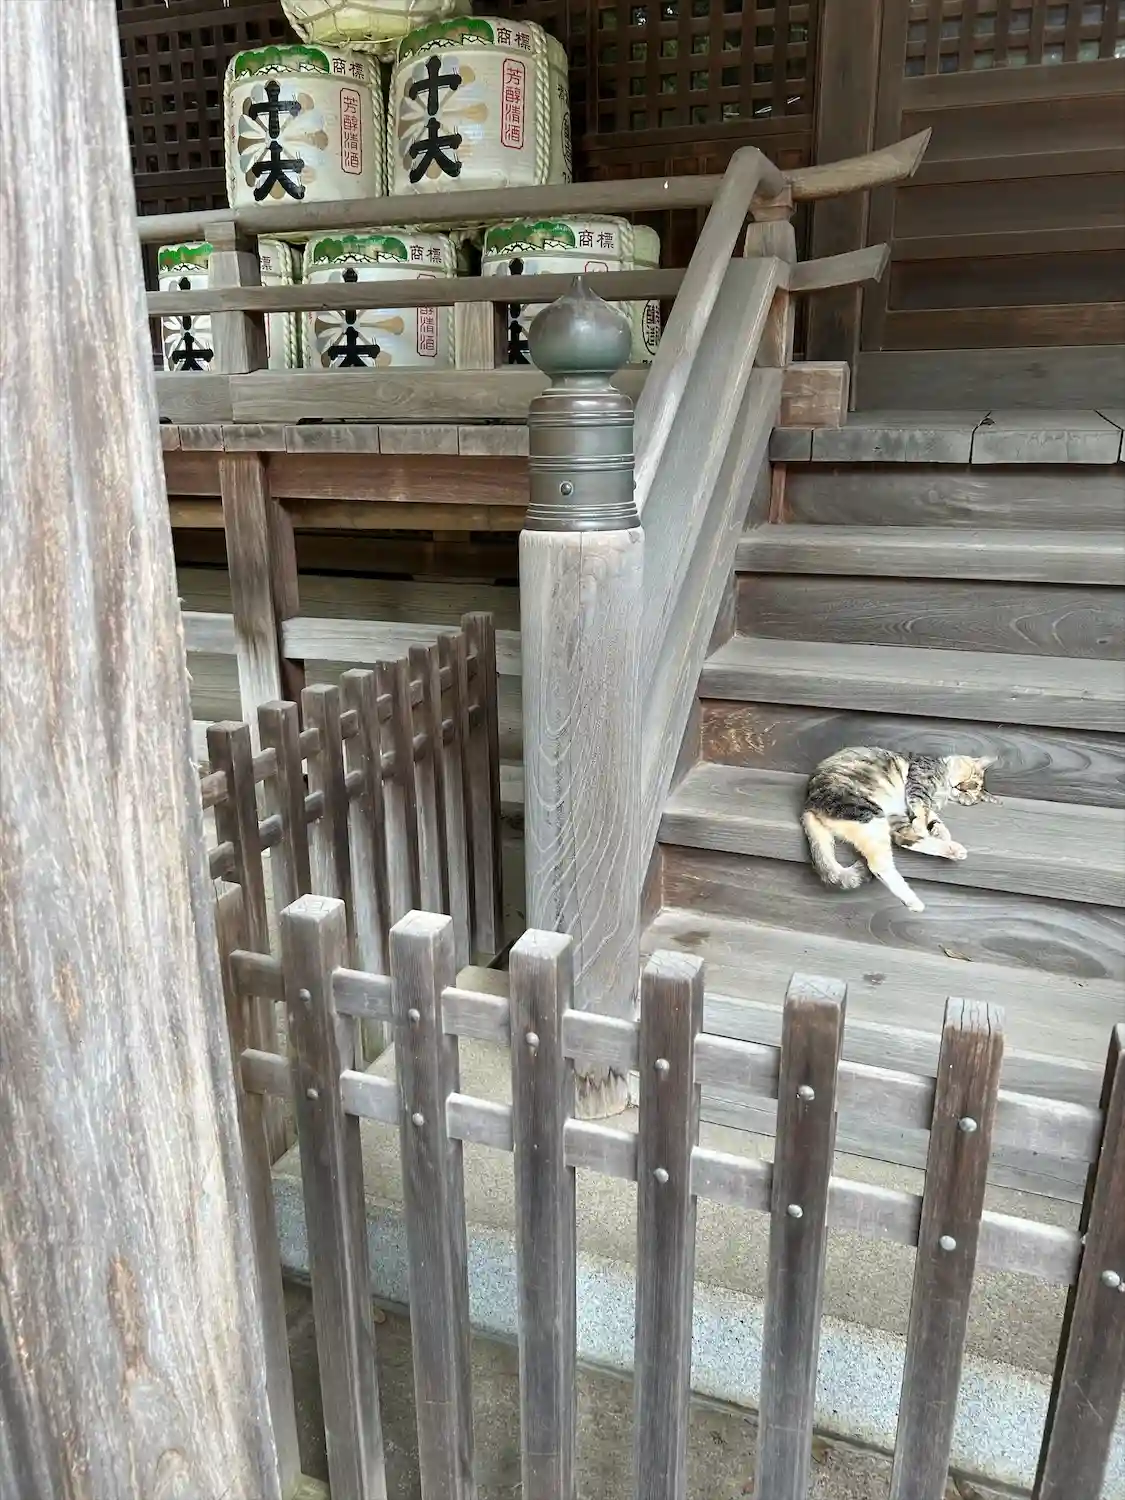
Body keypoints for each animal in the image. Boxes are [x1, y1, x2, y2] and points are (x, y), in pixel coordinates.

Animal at [801, 747, 995, 914]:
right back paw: (914, 902)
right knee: (879, 864)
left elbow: (933, 819)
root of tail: (808, 806)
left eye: (968, 794)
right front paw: (926, 827)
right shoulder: (918, 784)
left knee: (905, 840)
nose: (961, 788)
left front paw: (941, 832)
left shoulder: (921, 805)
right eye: (970, 777)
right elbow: (922, 809)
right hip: (868, 815)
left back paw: (952, 849)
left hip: (890, 817)